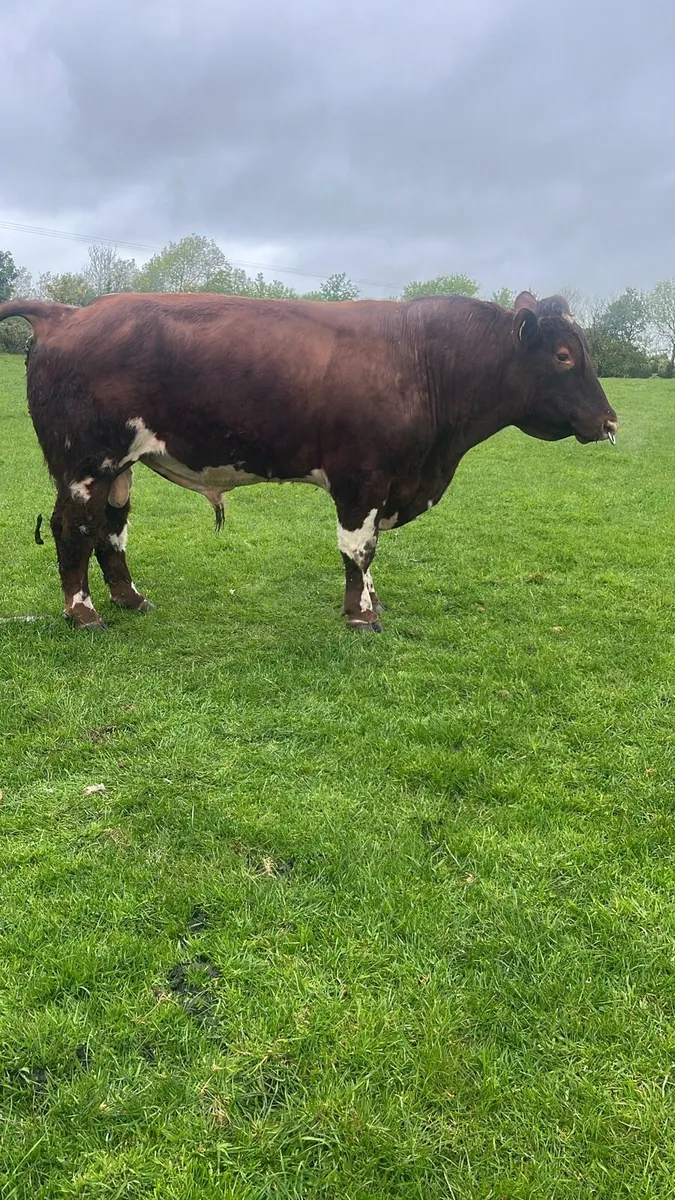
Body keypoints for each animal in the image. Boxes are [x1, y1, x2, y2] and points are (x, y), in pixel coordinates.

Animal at [0, 289, 618, 632]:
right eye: (564, 356)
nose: (610, 422)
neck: (421, 360)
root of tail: (67, 313)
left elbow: (369, 550)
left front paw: (372, 602)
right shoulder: (361, 477)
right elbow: (358, 547)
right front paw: (362, 615)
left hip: (119, 467)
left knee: (111, 528)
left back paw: (131, 599)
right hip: (85, 463)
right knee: (73, 527)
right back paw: (84, 613)